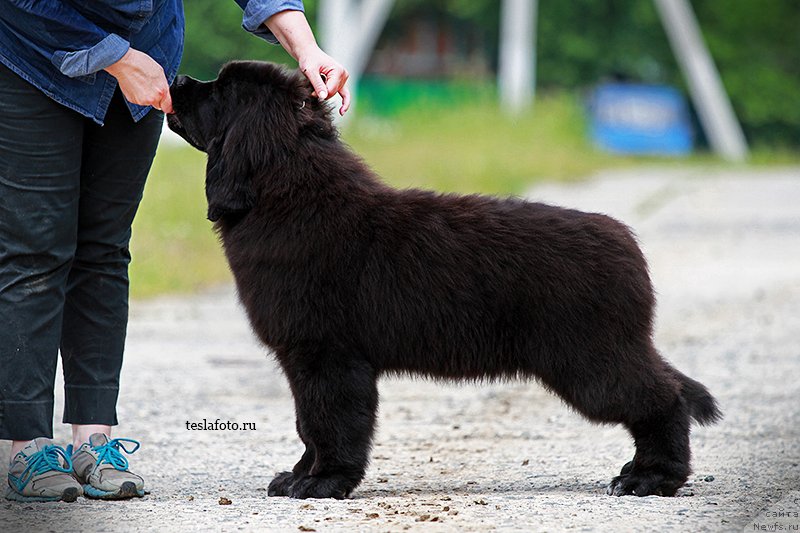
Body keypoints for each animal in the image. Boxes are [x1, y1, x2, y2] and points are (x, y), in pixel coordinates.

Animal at [166, 61, 720, 498]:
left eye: (220, 91)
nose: (174, 79)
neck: (288, 193)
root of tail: (628, 244)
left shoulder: (326, 355)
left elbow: (329, 422)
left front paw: (323, 483)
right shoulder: (309, 359)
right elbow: (308, 423)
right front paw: (298, 476)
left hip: (589, 360)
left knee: (663, 400)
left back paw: (650, 479)